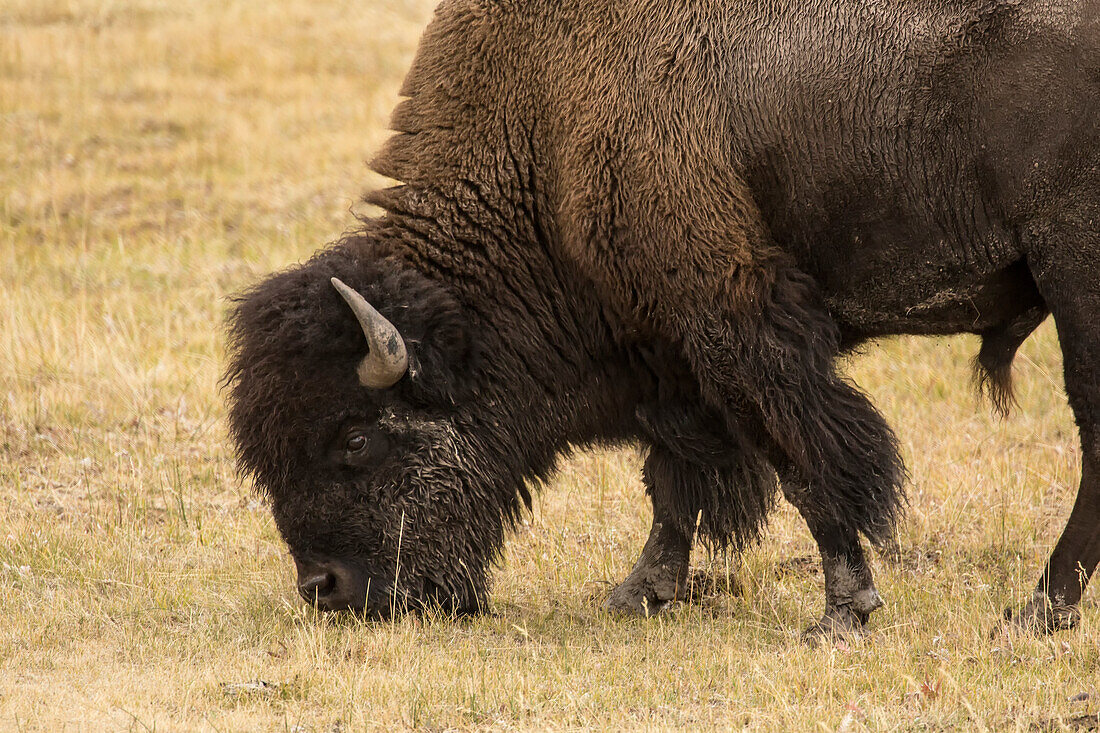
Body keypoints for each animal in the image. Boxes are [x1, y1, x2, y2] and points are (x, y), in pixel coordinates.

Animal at [223, 0, 1100, 638]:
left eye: (356, 437)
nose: (326, 588)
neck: (544, 131)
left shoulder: (736, 326)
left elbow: (805, 462)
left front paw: (842, 613)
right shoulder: (665, 354)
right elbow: (674, 478)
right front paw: (640, 590)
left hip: (1074, 278)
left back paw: (1039, 609)